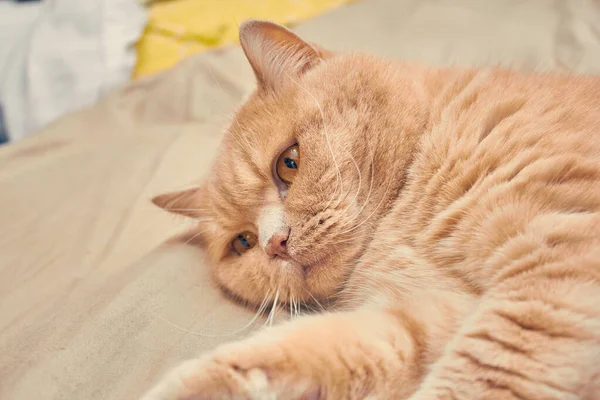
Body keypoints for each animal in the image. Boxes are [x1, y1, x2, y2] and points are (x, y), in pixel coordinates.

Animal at [144, 20, 600, 400]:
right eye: (243, 243)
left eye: (288, 163)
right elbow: (313, 350)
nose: (276, 242)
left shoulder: (555, 260)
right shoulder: (427, 316)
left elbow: (481, 374)